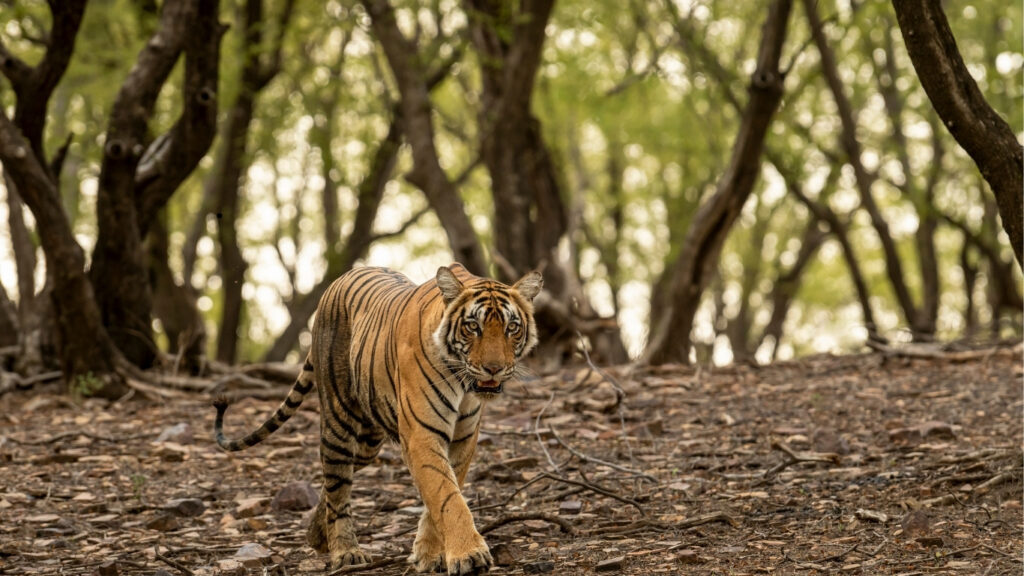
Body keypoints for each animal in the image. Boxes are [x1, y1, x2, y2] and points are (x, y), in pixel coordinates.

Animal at [213, 263, 542, 575]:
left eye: (512, 327)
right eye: (473, 326)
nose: (493, 369)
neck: (463, 382)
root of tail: (339, 279)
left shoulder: (462, 439)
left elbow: (442, 495)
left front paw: (428, 555)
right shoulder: (422, 435)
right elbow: (448, 497)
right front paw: (469, 555)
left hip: (368, 443)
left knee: (333, 485)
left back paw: (317, 536)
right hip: (338, 423)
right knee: (337, 488)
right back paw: (345, 552)